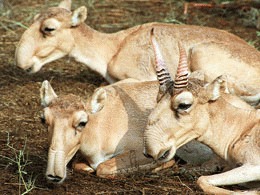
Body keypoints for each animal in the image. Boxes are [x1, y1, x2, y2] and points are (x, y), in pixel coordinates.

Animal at [15, 0, 260, 91]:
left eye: (49, 28)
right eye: (34, 18)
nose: (21, 63)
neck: (112, 48)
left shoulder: (142, 76)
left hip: (201, 53)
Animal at [143, 37, 258, 193]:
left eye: (184, 104)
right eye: (158, 98)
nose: (150, 151)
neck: (244, 126)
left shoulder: (253, 166)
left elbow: (202, 180)